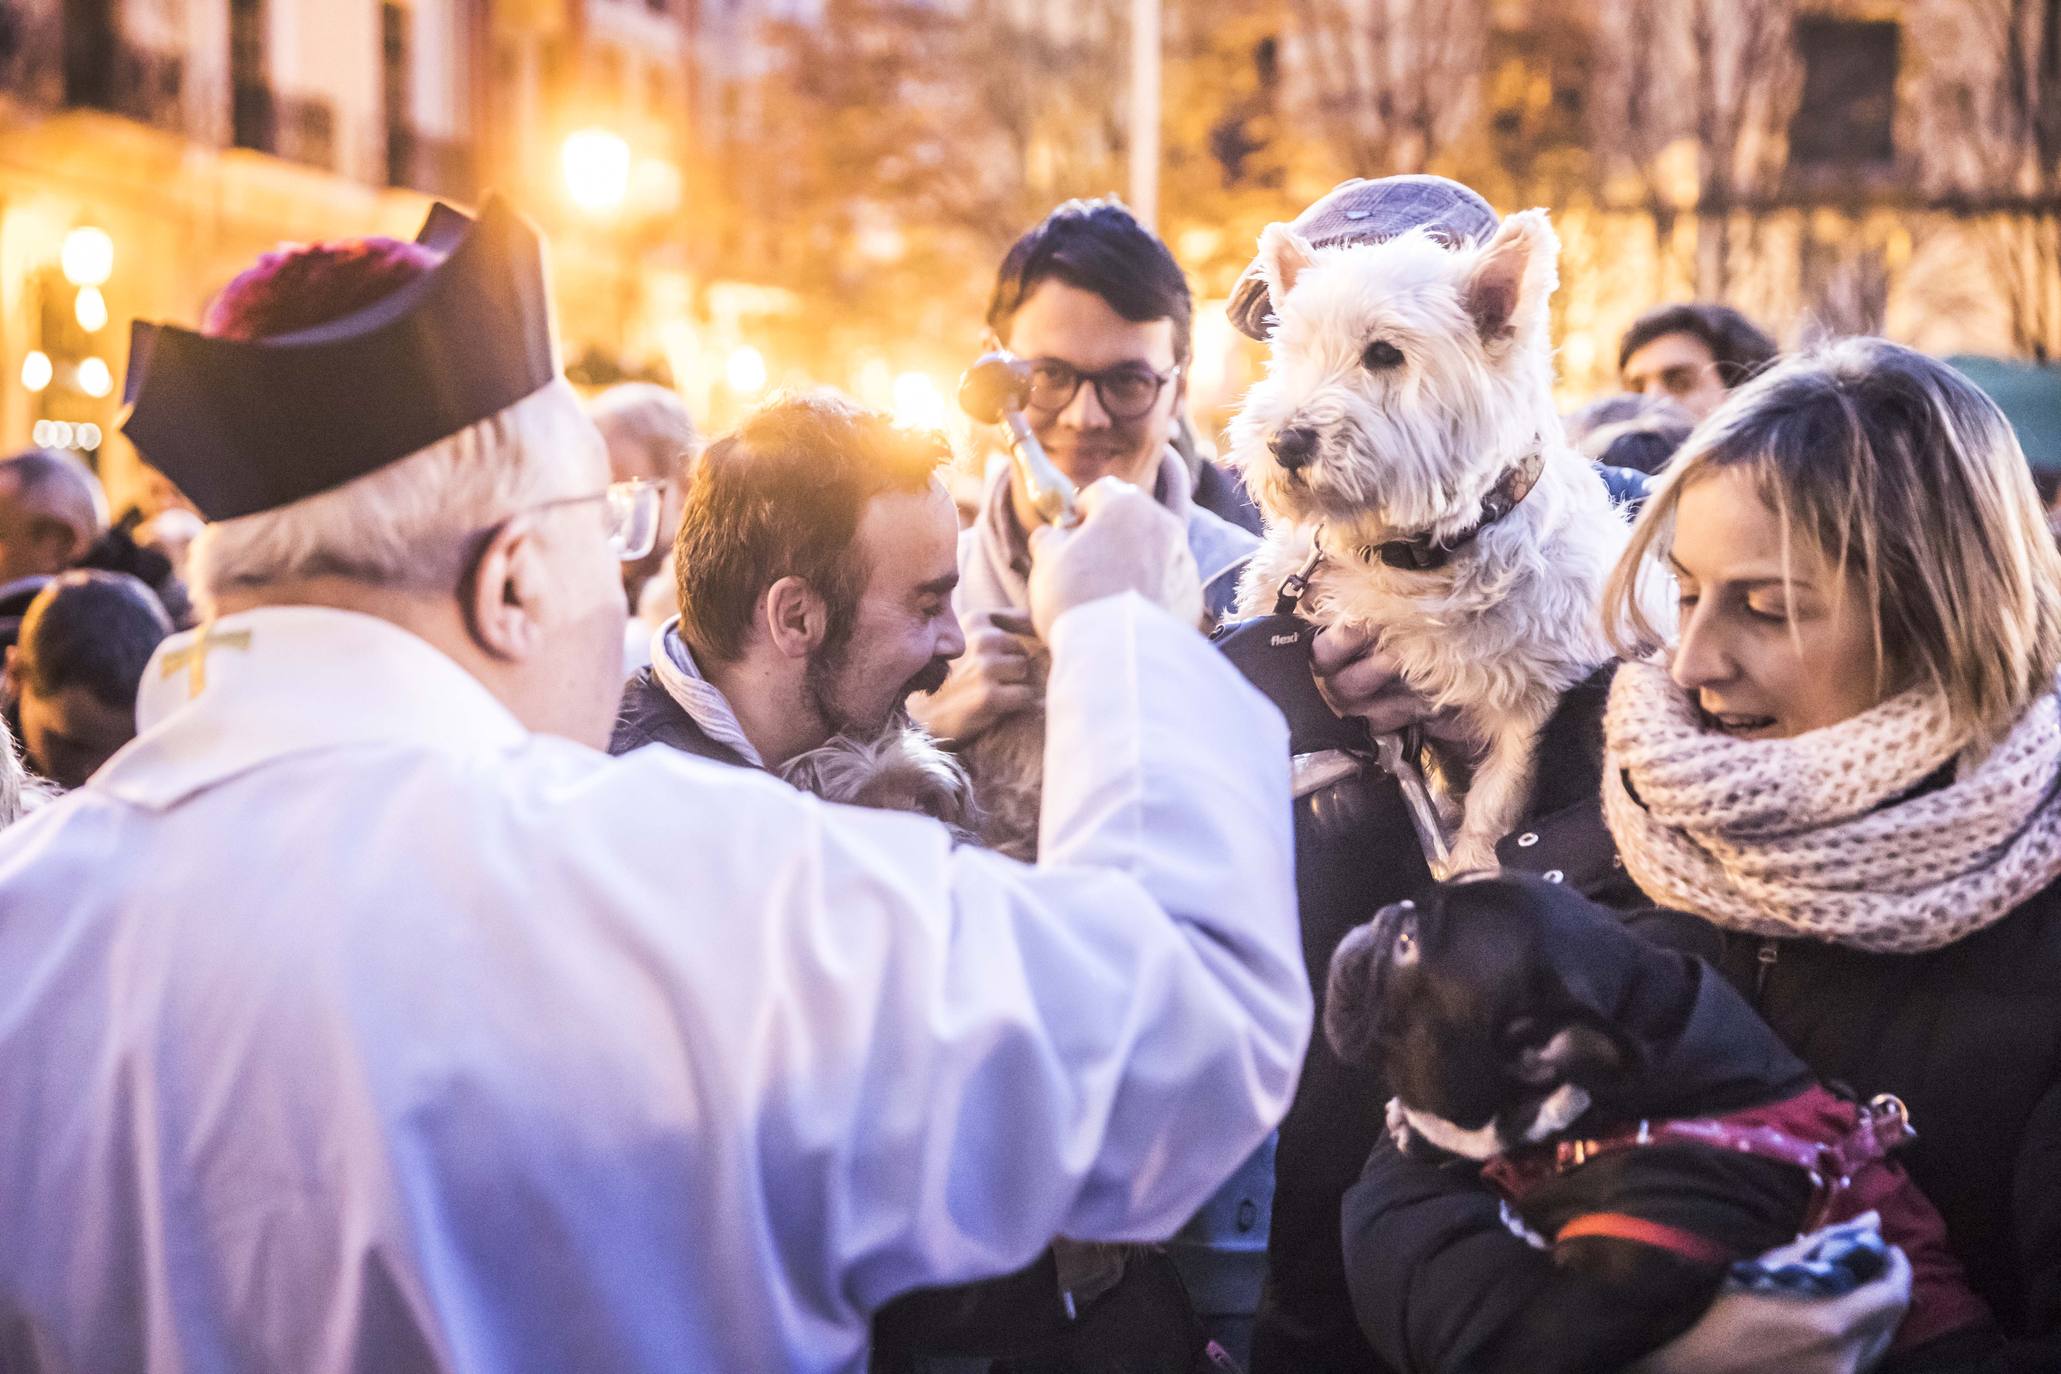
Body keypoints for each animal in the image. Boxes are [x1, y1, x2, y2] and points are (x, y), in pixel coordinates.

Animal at [1228, 210, 1648, 869]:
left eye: (1383, 353)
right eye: (1294, 352)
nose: (1284, 443)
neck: (1407, 557)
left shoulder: (1529, 701)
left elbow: (1491, 809)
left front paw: (1473, 869)